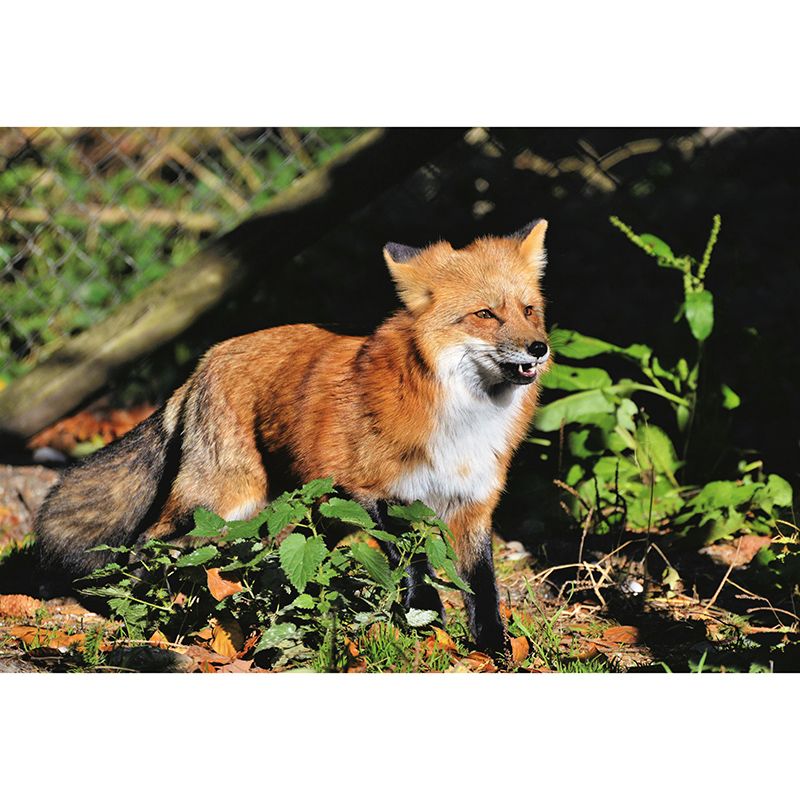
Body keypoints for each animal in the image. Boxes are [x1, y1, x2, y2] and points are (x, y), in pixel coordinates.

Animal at [35, 219, 551, 654]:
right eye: (485, 314)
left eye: (529, 310)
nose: (539, 347)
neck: (462, 417)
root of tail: (207, 358)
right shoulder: (377, 493)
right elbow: (416, 573)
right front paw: (428, 632)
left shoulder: (473, 506)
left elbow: (482, 591)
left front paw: (495, 651)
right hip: (222, 500)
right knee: (149, 541)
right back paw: (152, 611)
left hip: (306, 511)